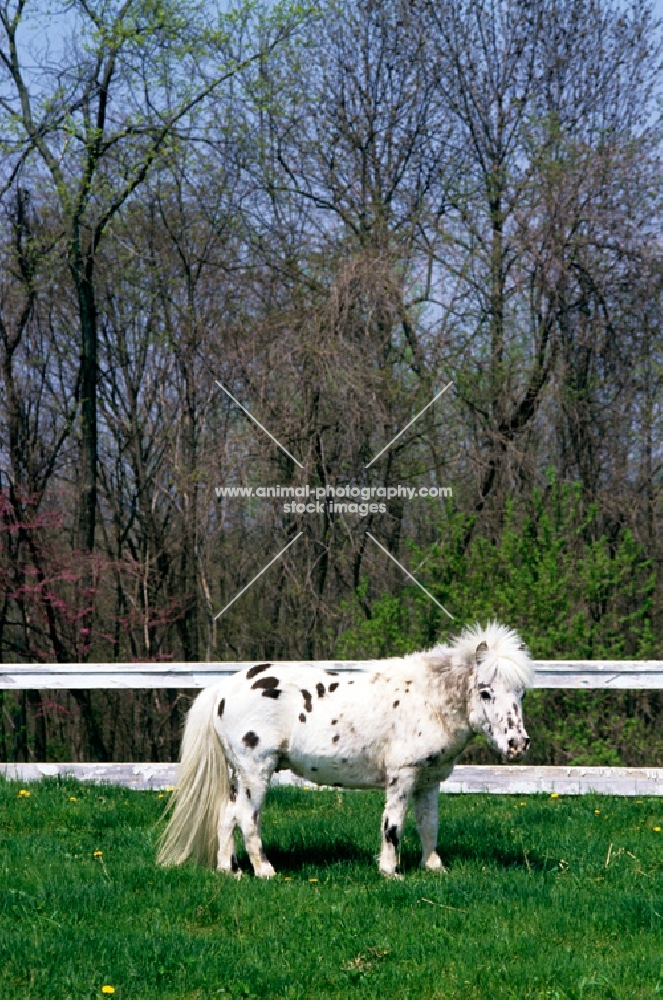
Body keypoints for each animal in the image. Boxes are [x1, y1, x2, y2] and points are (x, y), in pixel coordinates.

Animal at [160, 620, 536, 880]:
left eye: (521, 692)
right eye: (486, 691)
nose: (517, 744)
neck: (428, 700)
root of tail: (223, 688)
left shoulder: (429, 781)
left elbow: (429, 825)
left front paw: (433, 867)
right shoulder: (402, 778)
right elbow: (393, 825)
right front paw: (391, 872)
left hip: (238, 774)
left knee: (226, 817)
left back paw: (231, 871)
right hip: (255, 772)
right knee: (247, 818)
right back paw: (265, 871)